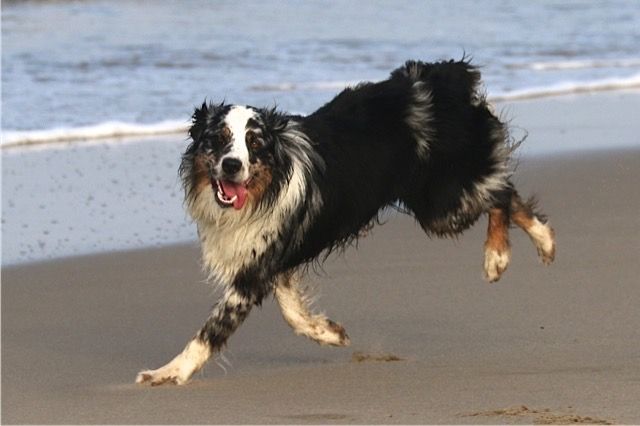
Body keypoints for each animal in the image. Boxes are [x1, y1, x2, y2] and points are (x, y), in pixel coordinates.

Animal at [136, 60, 556, 386]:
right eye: (219, 138)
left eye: (254, 144)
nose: (232, 166)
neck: (261, 190)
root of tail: (442, 76)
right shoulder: (272, 256)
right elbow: (292, 311)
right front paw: (328, 333)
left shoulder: (254, 272)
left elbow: (210, 330)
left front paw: (168, 373)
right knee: (500, 190)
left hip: (442, 205)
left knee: (502, 193)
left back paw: (512, 251)